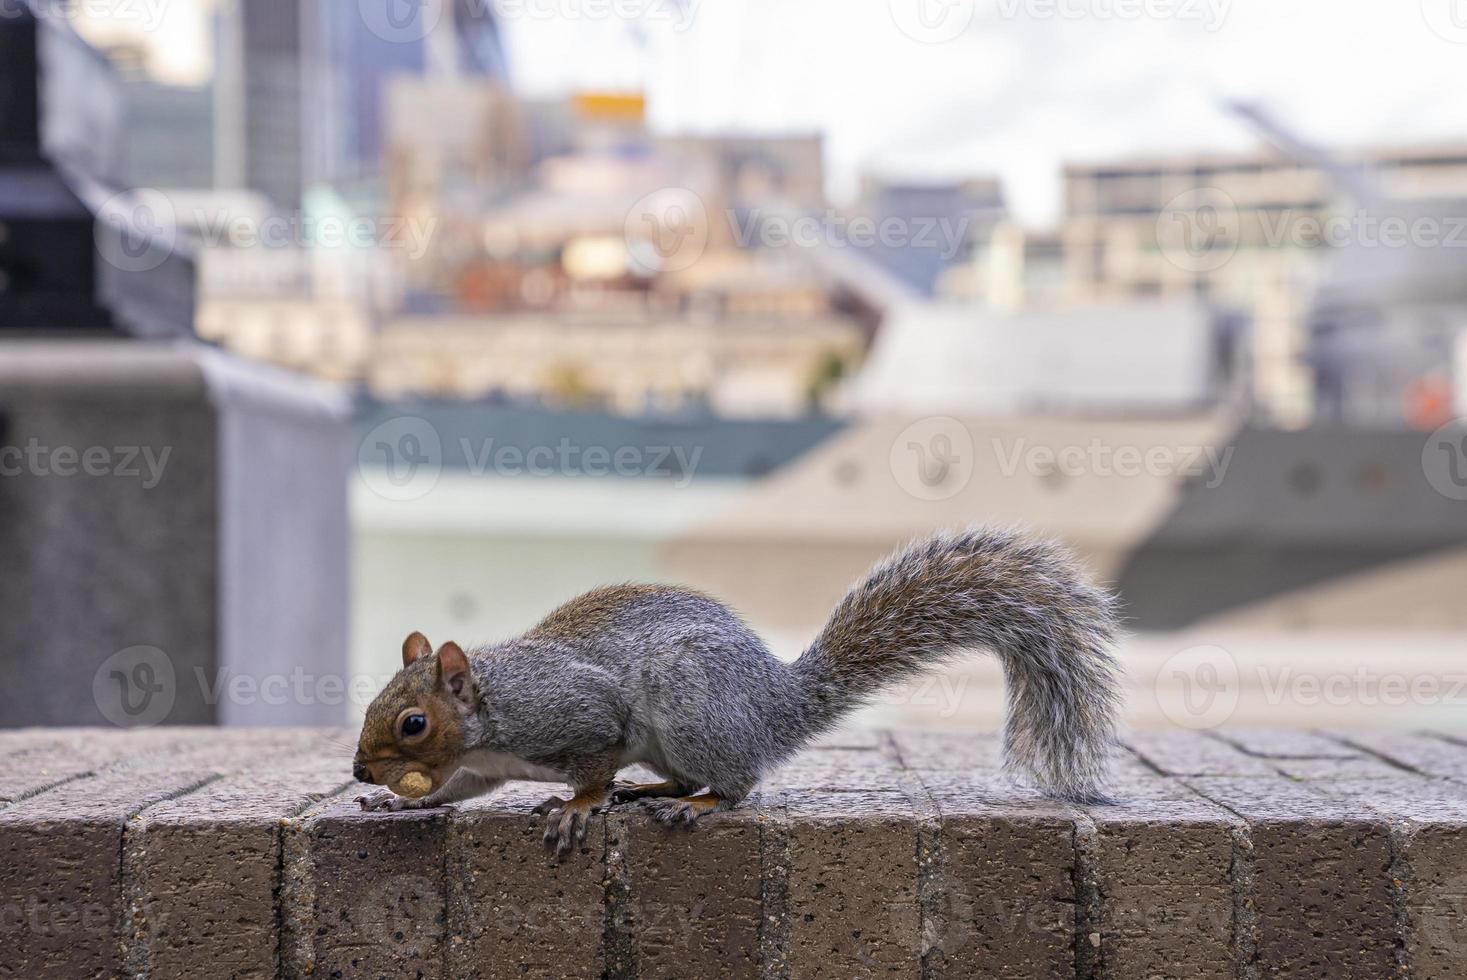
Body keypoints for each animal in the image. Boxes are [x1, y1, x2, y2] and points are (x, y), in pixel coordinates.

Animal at [355, 525, 1120, 850]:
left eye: (413, 723)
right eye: (370, 707)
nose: (360, 768)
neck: (489, 714)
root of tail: (772, 703)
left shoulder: (573, 714)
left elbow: (596, 760)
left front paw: (578, 805)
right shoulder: (480, 767)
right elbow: (457, 791)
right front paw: (394, 803)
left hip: (690, 705)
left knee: (737, 782)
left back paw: (693, 804)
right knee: (689, 773)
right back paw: (654, 790)